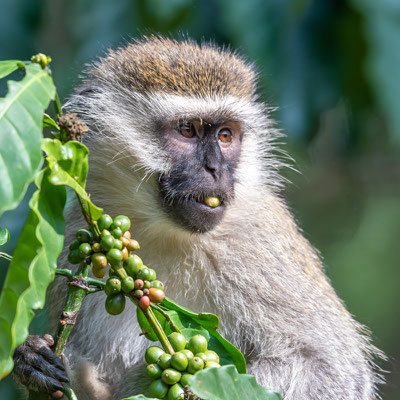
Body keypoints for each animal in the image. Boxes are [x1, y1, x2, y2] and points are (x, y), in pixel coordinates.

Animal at [12, 36, 382, 400]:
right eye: (187, 130)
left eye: (225, 135)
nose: (216, 169)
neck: (162, 232)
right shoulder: (74, 231)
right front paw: (31, 360)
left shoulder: (260, 245)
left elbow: (329, 369)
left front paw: (162, 383)